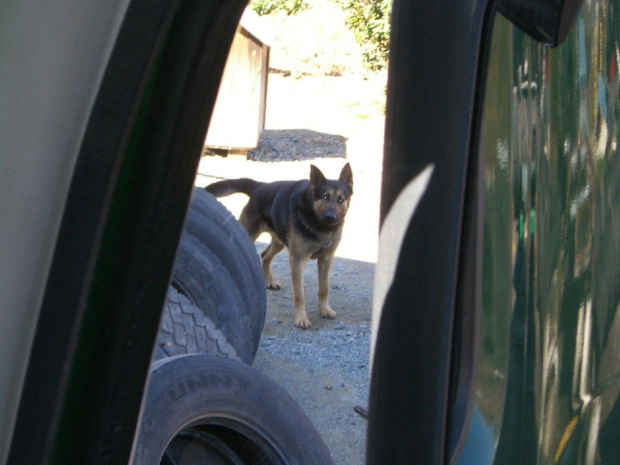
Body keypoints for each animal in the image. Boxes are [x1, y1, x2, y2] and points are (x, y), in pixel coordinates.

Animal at [206, 165, 354, 328]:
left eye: (341, 199)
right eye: (325, 197)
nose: (331, 217)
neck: (319, 224)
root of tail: (260, 186)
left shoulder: (326, 259)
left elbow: (324, 288)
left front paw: (325, 309)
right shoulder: (297, 260)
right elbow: (299, 294)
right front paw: (301, 318)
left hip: (279, 243)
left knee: (264, 256)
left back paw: (270, 281)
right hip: (250, 236)